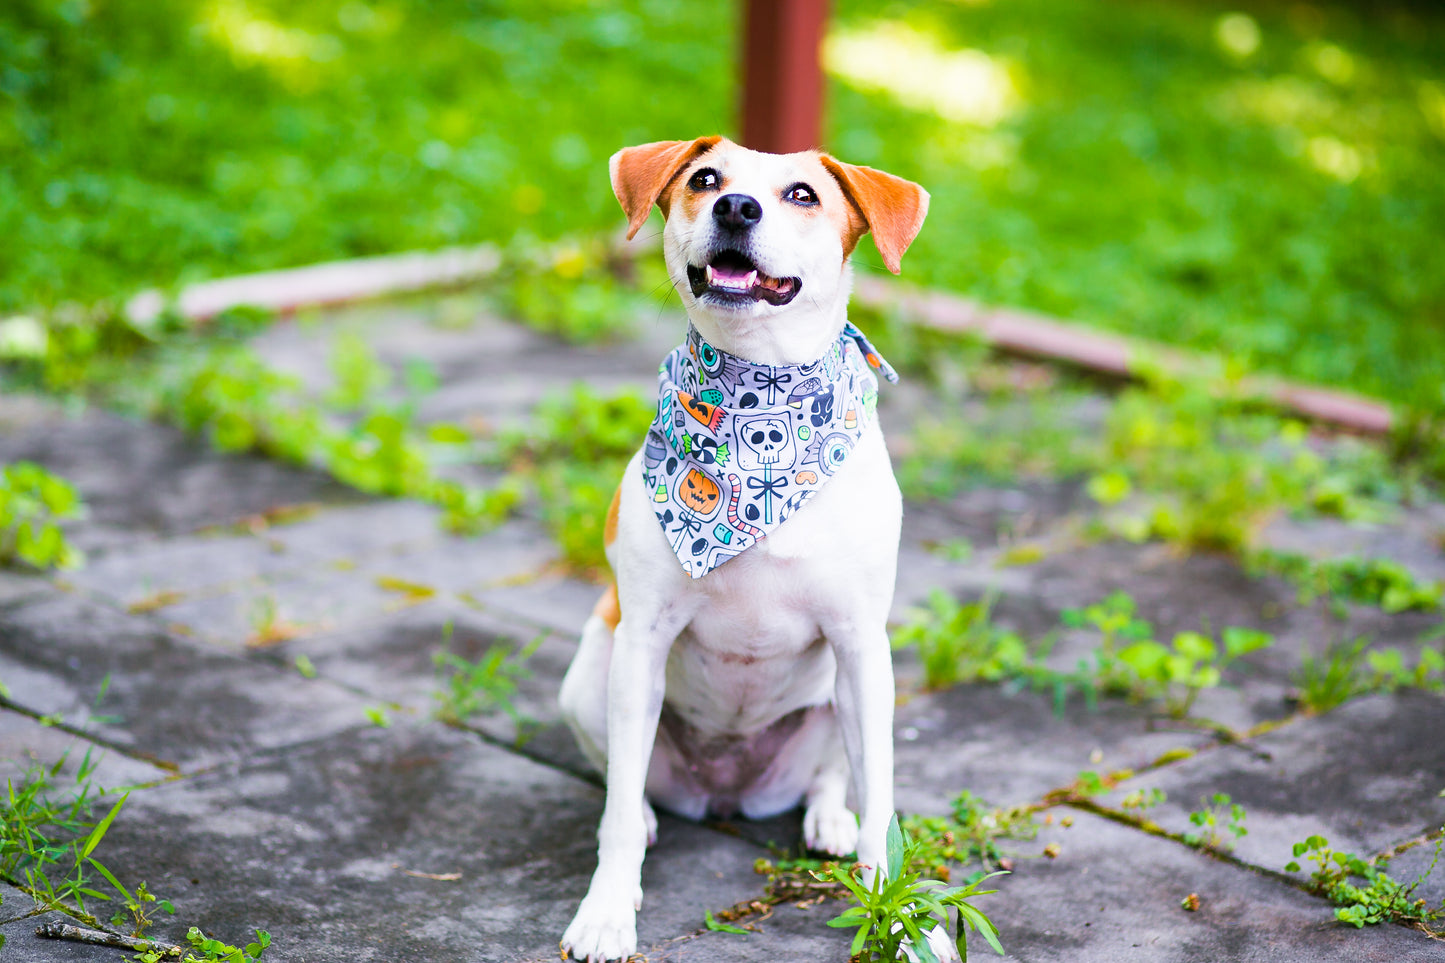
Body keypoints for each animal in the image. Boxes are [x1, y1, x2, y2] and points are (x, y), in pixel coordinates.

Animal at [557, 136, 930, 960]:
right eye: (705, 179)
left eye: (801, 194)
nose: (736, 207)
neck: (760, 392)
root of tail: (726, 794)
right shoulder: (641, 642)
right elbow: (617, 812)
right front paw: (606, 912)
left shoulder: (861, 644)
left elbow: (883, 800)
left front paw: (894, 917)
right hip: (592, 678)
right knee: (626, 785)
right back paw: (651, 817)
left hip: (850, 693)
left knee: (836, 773)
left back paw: (828, 818)